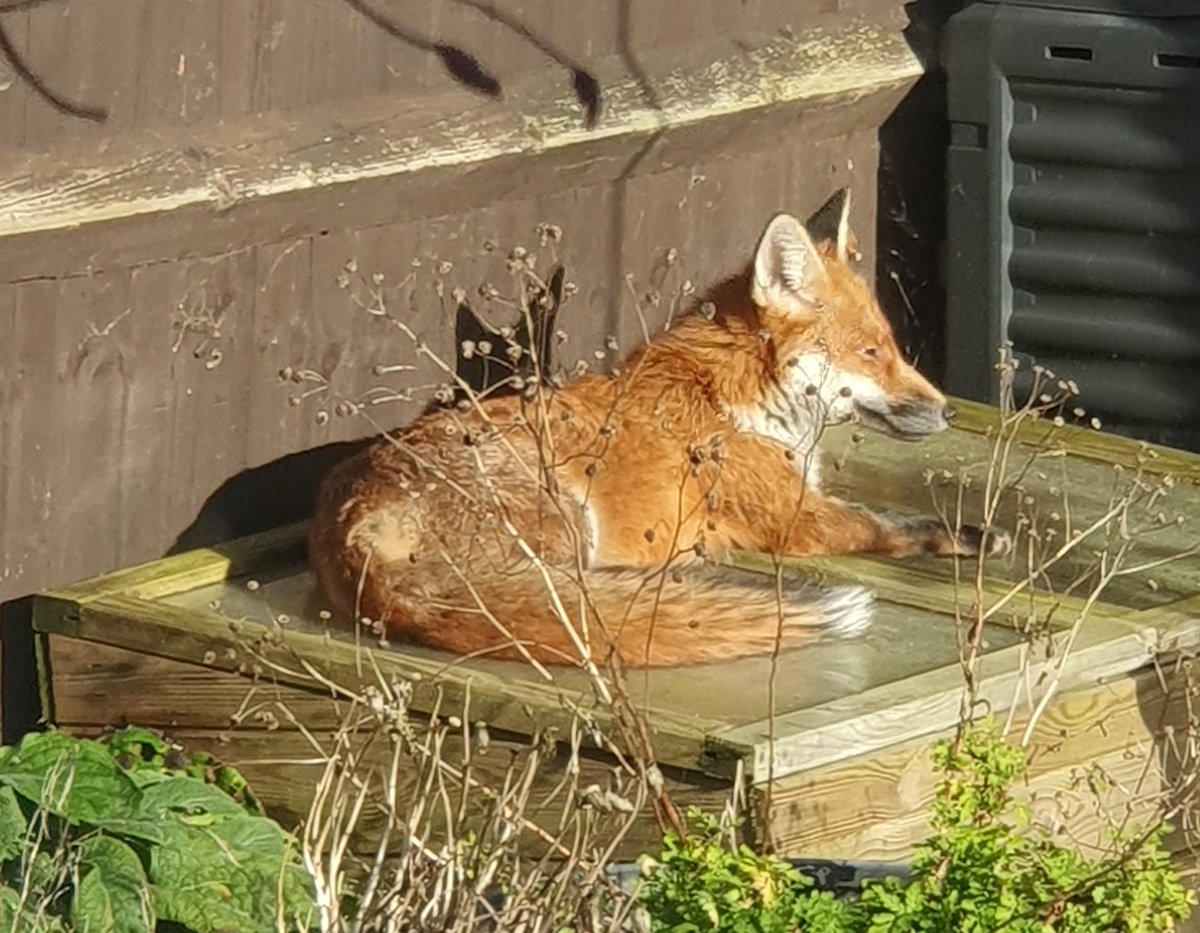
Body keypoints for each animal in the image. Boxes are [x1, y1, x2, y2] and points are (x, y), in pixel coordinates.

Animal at [308, 189, 1010, 669]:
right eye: (871, 353)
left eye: (889, 347)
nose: (948, 410)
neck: (732, 396)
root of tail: (347, 524)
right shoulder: (795, 515)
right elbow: (885, 527)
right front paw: (964, 536)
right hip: (565, 521)